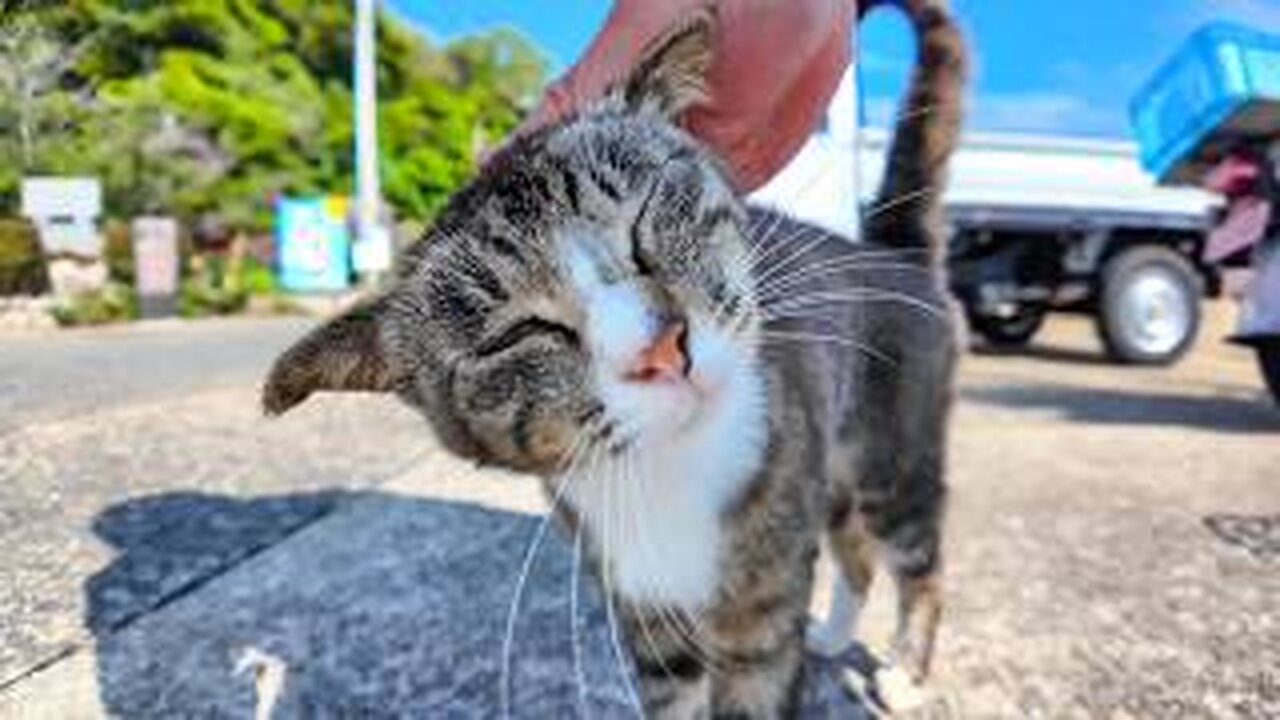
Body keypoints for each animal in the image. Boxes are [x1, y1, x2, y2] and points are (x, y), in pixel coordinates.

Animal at [262, 1, 962, 712]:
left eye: (646, 214)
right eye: (518, 334)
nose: (662, 348)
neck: (674, 467)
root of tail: (890, 249)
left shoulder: (762, 604)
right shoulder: (644, 608)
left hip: (891, 454)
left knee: (915, 557)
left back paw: (907, 674)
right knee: (856, 549)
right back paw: (836, 633)